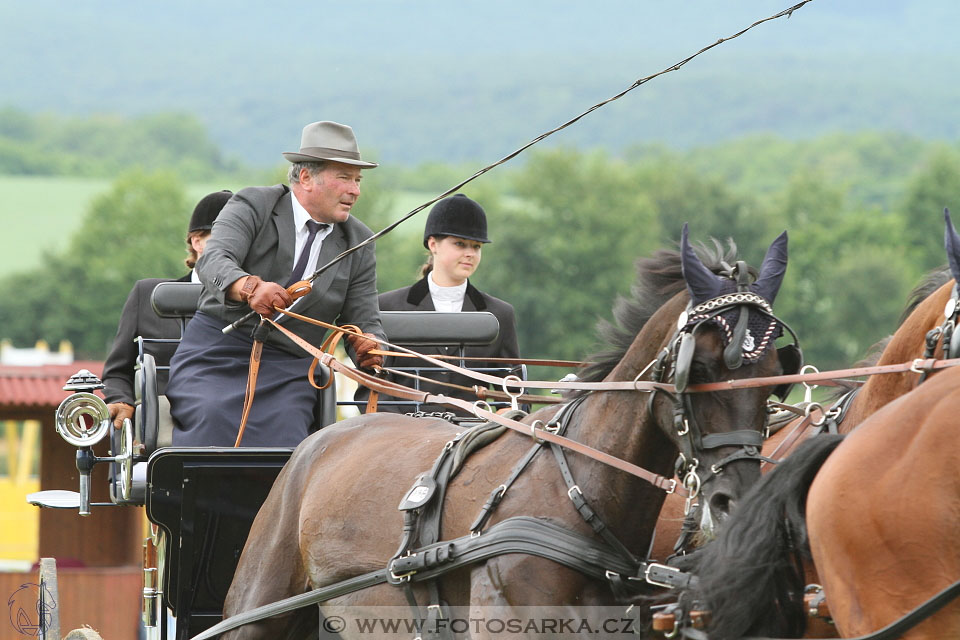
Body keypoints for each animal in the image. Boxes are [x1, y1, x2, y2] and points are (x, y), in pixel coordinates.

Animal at [223, 228, 796, 636]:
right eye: (697, 368)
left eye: (775, 374)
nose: (737, 498)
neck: (577, 490)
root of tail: (318, 443)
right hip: (258, 607)